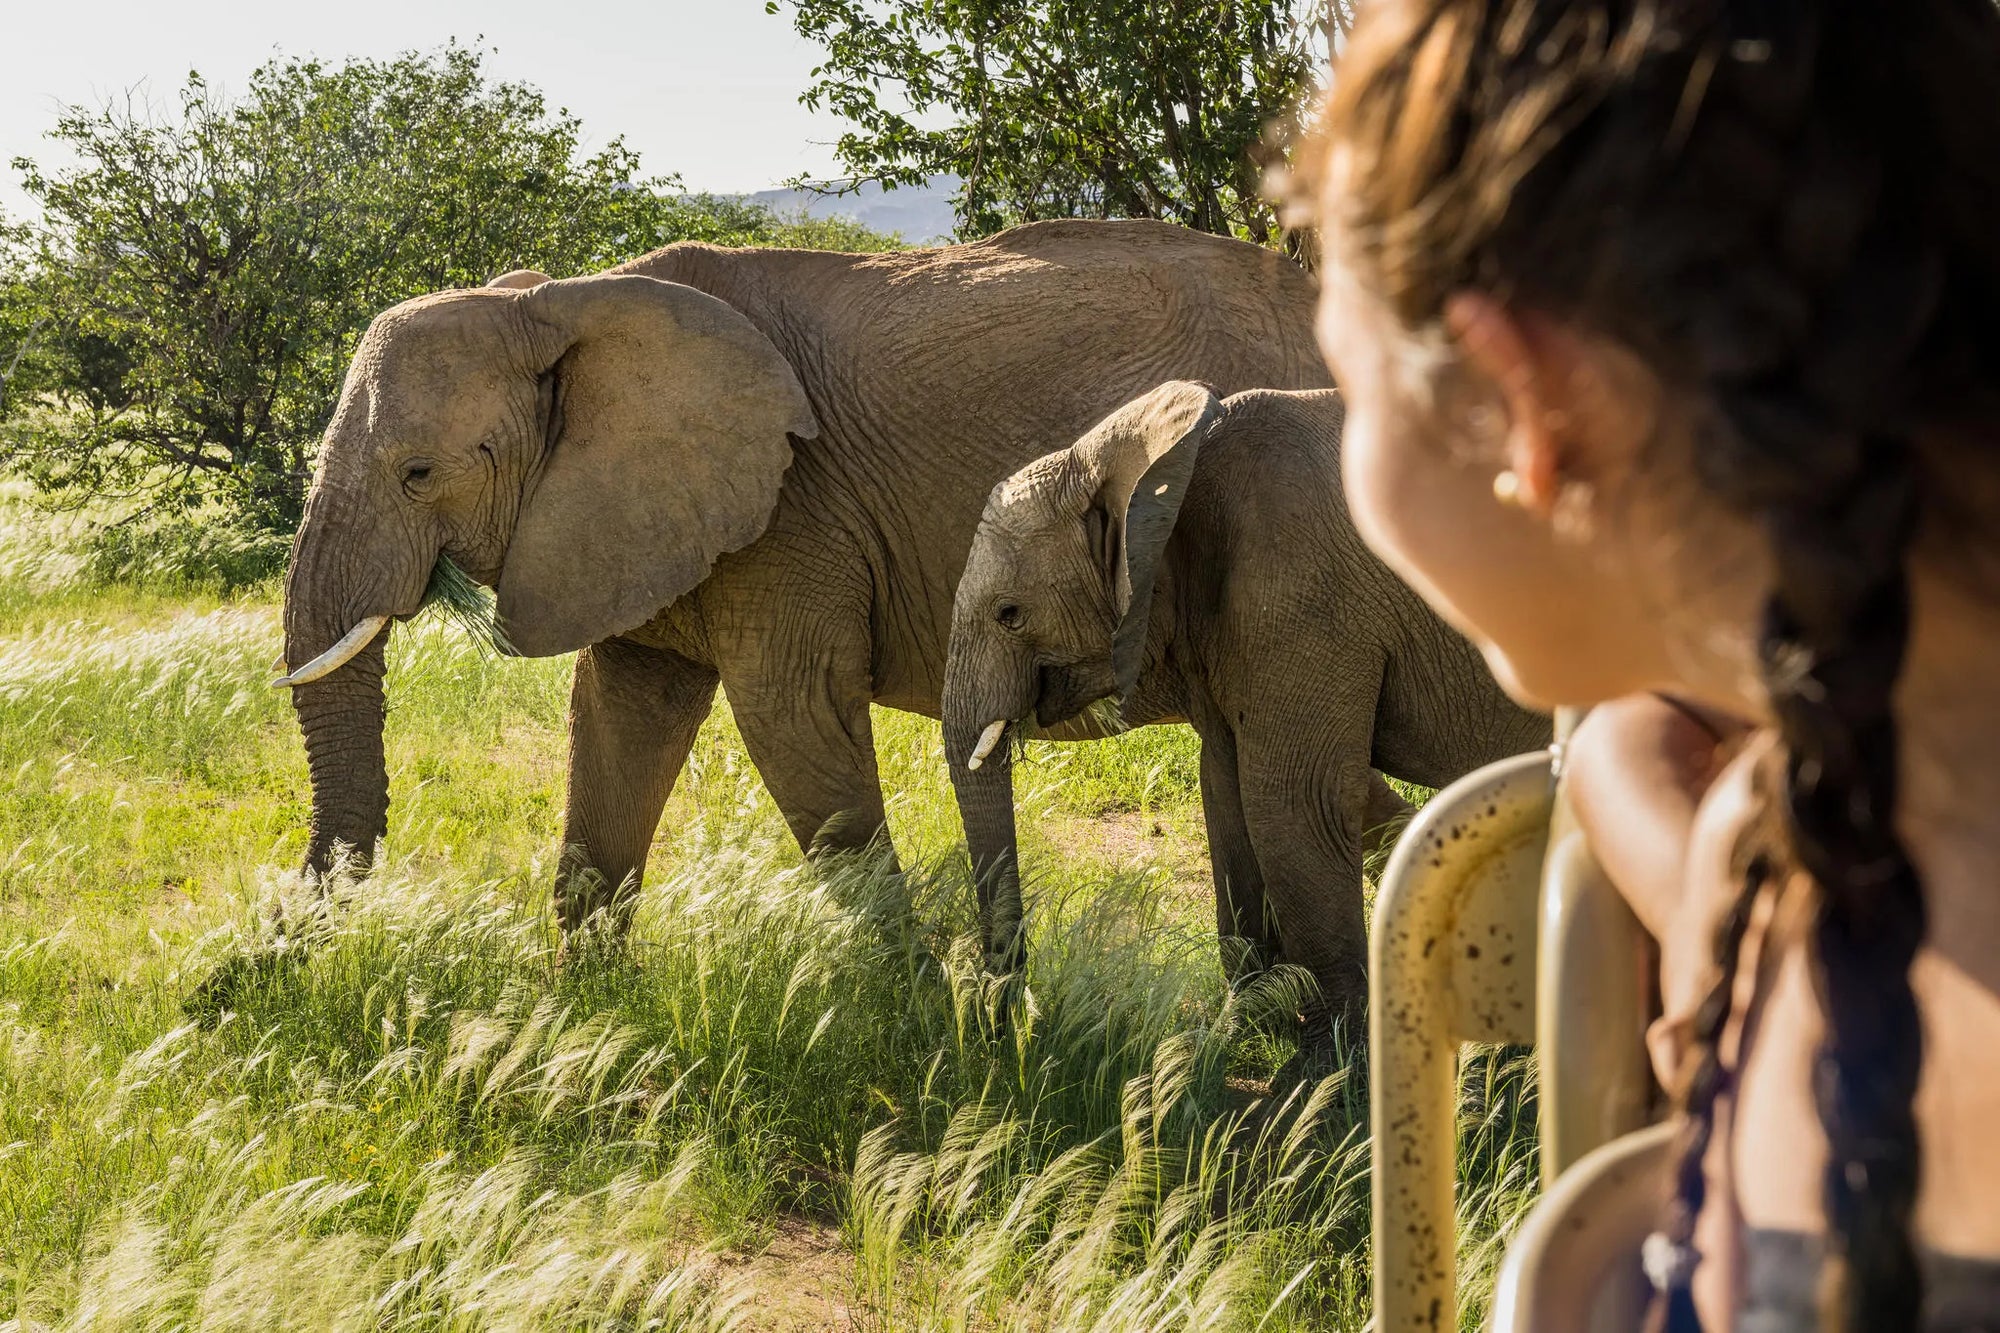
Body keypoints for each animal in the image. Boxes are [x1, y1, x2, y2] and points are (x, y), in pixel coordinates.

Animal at [274, 220, 1333, 945]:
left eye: (417, 473)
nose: (279, 938)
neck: (558, 301)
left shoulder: (794, 511)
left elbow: (794, 718)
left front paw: (918, 1038)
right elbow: (617, 717)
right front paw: (582, 1035)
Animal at [942, 382, 1551, 1031]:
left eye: (1009, 614)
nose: (1010, 1019)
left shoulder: (1299, 604)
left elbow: (1291, 801)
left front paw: (1332, 1049)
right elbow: (1226, 791)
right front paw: (1245, 1022)